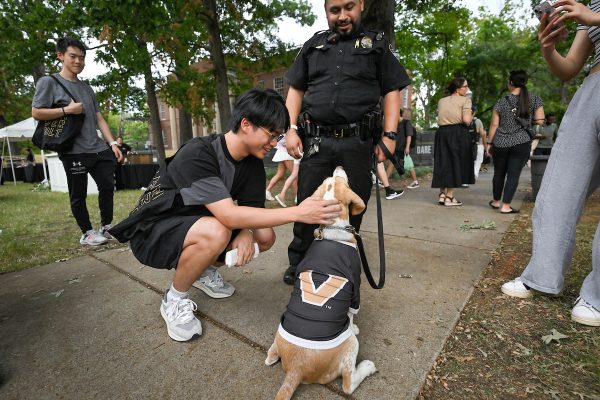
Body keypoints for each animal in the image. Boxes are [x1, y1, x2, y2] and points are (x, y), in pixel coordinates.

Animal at [266, 166, 378, 400]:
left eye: (330, 180)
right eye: (338, 179)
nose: (339, 167)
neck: (332, 228)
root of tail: (295, 369)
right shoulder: (355, 292)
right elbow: (351, 315)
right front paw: (353, 327)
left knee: (269, 357)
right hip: (350, 347)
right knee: (348, 384)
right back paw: (367, 367)